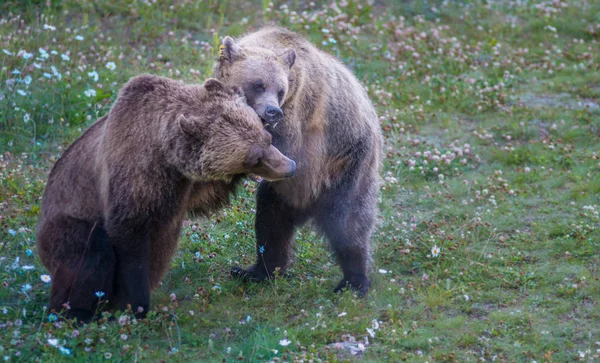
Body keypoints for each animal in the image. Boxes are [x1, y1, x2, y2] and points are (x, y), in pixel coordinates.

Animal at [35, 74, 296, 324]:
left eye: (267, 138)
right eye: (254, 158)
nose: (290, 166)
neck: (163, 153)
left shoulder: (183, 181)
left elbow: (206, 194)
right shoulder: (132, 175)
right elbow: (130, 241)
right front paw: (136, 306)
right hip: (67, 221)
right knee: (89, 254)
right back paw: (76, 313)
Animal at [216, 27, 384, 296]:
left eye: (280, 90)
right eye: (258, 84)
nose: (273, 111)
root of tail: (309, 204)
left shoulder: (298, 116)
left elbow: (282, 145)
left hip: (347, 163)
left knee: (349, 223)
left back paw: (353, 282)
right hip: (285, 192)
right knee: (270, 222)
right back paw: (255, 271)